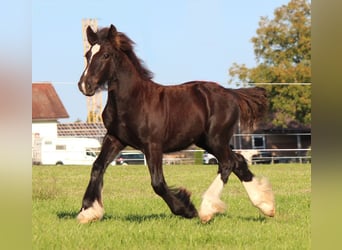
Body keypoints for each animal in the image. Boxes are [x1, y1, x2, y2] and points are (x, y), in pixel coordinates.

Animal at [76, 24, 274, 224]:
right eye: (87, 54)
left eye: (106, 55)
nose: (85, 86)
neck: (132, 100)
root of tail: (231, 93)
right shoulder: (115, 138)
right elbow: (97, 167)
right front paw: (88, 211)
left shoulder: (153, 144)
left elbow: (157, 182)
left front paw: (186, 209)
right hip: (207, 141)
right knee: (238, 161)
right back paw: (266, 205)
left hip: (216, 139)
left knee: (228, 163)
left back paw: (207, 210)